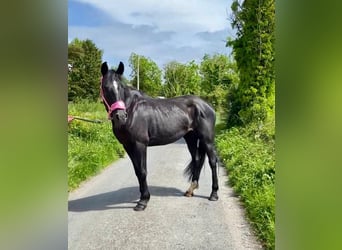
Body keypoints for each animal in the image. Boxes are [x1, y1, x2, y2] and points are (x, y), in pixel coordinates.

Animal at [101, 61, 219, 211]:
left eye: (121, 87)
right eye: (105, 87)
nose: (120, 116)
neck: (132, 110)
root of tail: (207, 105)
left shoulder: (140, 145)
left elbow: (143, 171)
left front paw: (143, 201)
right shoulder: (128, 146)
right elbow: (137, 171)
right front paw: (142, 197)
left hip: (207, 140)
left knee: (212, 162)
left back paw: (214, 194)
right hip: (191, 138)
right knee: (197, 159)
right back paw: (190, 190)